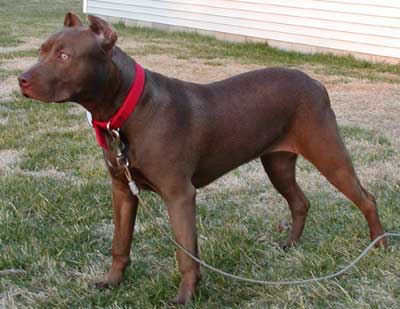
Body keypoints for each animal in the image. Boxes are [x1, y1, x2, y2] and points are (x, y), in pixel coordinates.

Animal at [19, 13, 388, 304]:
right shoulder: (122, 190)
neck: (124, 111)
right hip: (278, 162)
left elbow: (186, 252)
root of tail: (315, 82)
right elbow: (120, 243)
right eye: (41, 51)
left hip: (328, 153)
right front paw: (111, 283)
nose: (21, 79)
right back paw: (290, 245)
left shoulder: (179, 195)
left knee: (366, 198)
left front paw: (185, 298)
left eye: (65, 55)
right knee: (300, 201)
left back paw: (379, 247)